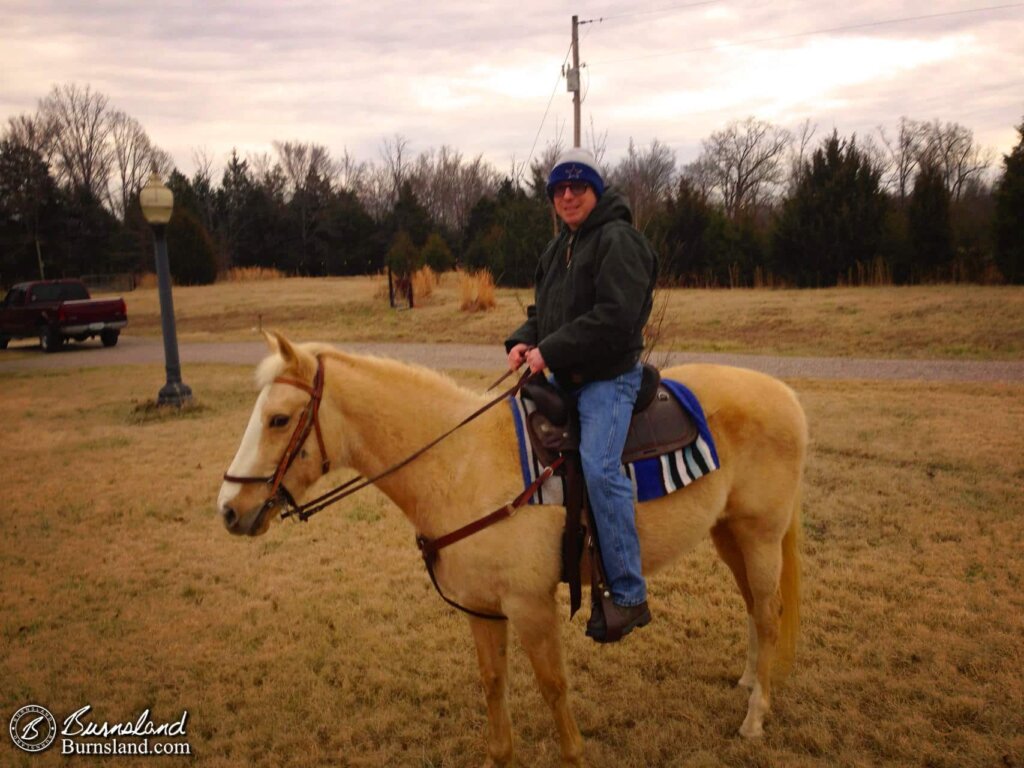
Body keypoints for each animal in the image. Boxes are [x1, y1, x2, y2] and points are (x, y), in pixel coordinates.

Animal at [218, 333, 806, 765]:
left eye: (278, 419)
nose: (228, 509)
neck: (459, 464)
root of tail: (786, 394)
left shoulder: (530, 604)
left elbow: (552, 686)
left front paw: (573, 755)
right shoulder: (482, 608)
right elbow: (493, 684)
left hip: (759, 534)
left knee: (769, 613)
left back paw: (755, 717)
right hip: (728, 533)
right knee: (754, 610)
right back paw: (749, 681)